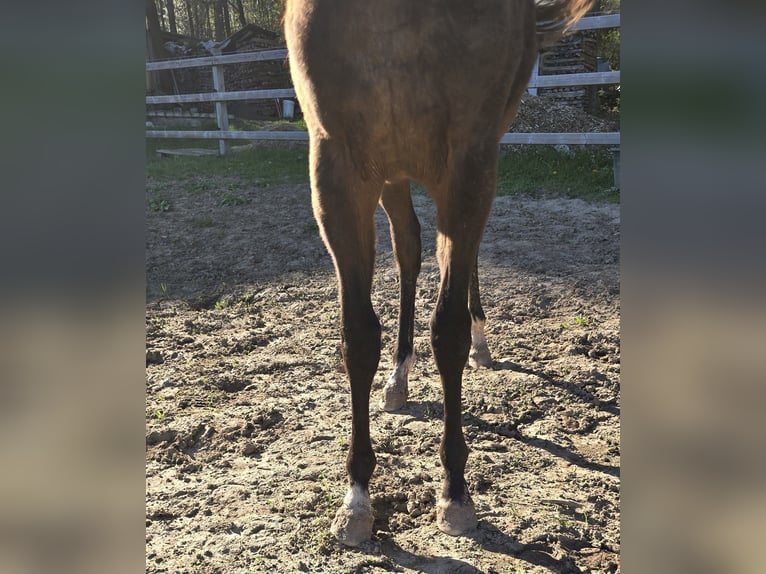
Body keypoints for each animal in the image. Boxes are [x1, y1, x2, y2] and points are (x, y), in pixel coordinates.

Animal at [284, 0, 593, 546]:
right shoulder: (337, 169)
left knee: (460, 261)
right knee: (409, 250)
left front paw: (454, 491)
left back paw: (482, 344)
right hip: (392, 174)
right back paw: (398, 378)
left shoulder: (469, 162)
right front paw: (356, 498)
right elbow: (358, 338)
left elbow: (448, 331)